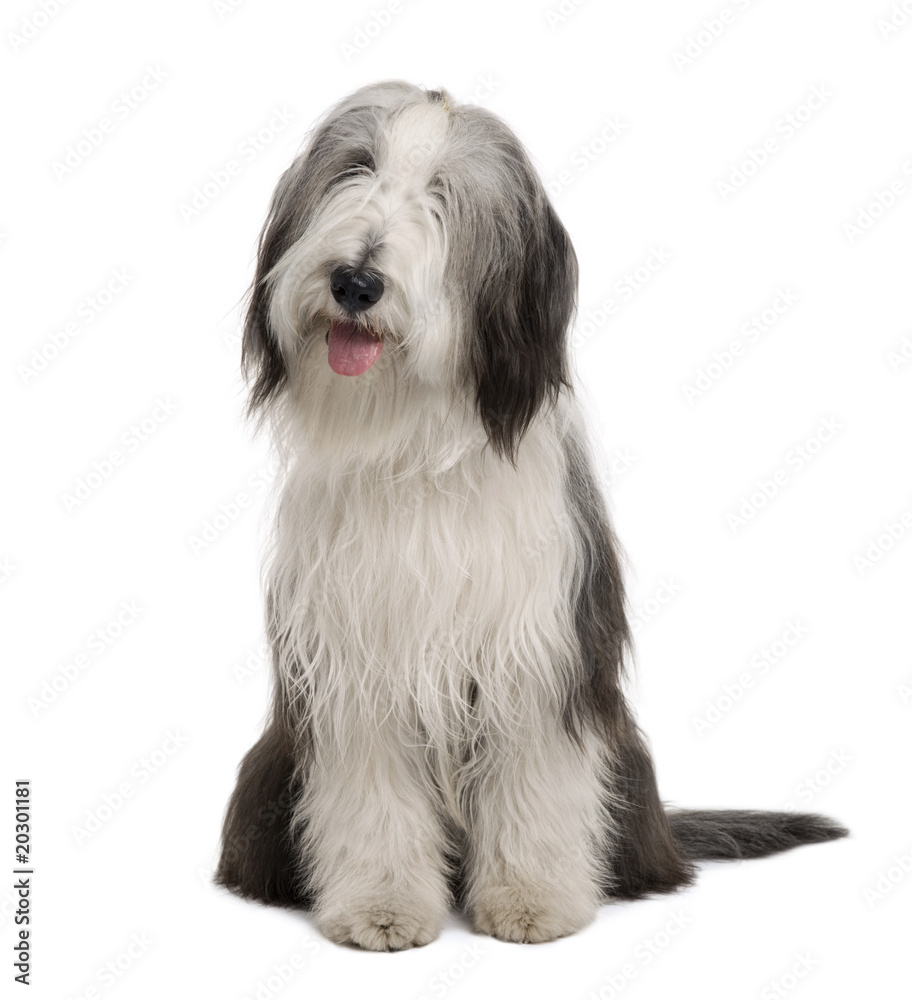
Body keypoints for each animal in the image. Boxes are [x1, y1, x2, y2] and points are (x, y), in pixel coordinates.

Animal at [216, 82, 848, 948]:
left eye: (445, 196)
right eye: (356, 168)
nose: (355, 281)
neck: (417, 440)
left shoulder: (537, 649)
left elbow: (534, 775)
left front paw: (532, 900)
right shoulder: (356, 666)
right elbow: (372, 791)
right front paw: (382, 905)